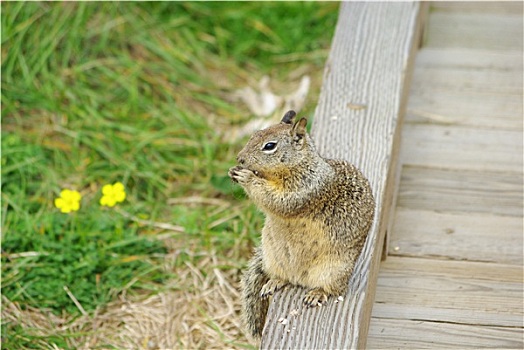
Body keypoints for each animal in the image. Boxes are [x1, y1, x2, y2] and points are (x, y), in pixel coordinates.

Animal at [227, 110, 374, 342]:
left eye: (270, 146)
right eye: (254, 134)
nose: (239, 158)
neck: (301, 164)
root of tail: (300, 278)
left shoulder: (305, 190)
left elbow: (276, 201)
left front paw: (246, 177)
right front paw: (235, 171)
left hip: (333, 271)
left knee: (333, 289)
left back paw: (317, 293)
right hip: (273, 258)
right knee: (284, 278)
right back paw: (275, 282)